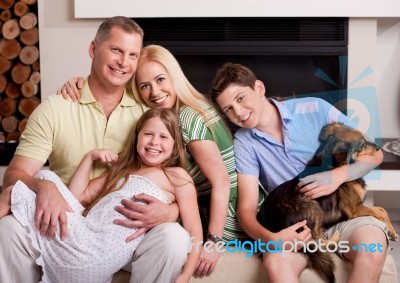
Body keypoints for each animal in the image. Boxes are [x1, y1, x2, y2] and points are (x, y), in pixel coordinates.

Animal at [258, 122, 398, 283]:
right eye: (362, 145)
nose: (378, 147)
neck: (337, 164)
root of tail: (270, 222)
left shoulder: (360, 206)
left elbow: (382, 209)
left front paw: (392, 231)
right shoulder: (355, 209)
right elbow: (381, 211)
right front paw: (393, 232)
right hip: (313, 206)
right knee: (317, 242)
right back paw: (335, 240)